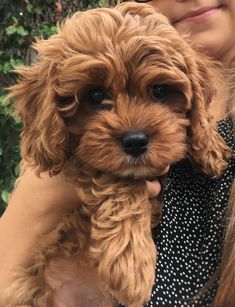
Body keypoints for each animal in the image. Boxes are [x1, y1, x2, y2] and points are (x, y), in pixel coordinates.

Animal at [3, 3, 231, 307]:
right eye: (96, 95)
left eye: (160, 91)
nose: (135, 142)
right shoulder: (78, 158)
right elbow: (121, 182)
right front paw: (132, 267)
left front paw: (210, 148)